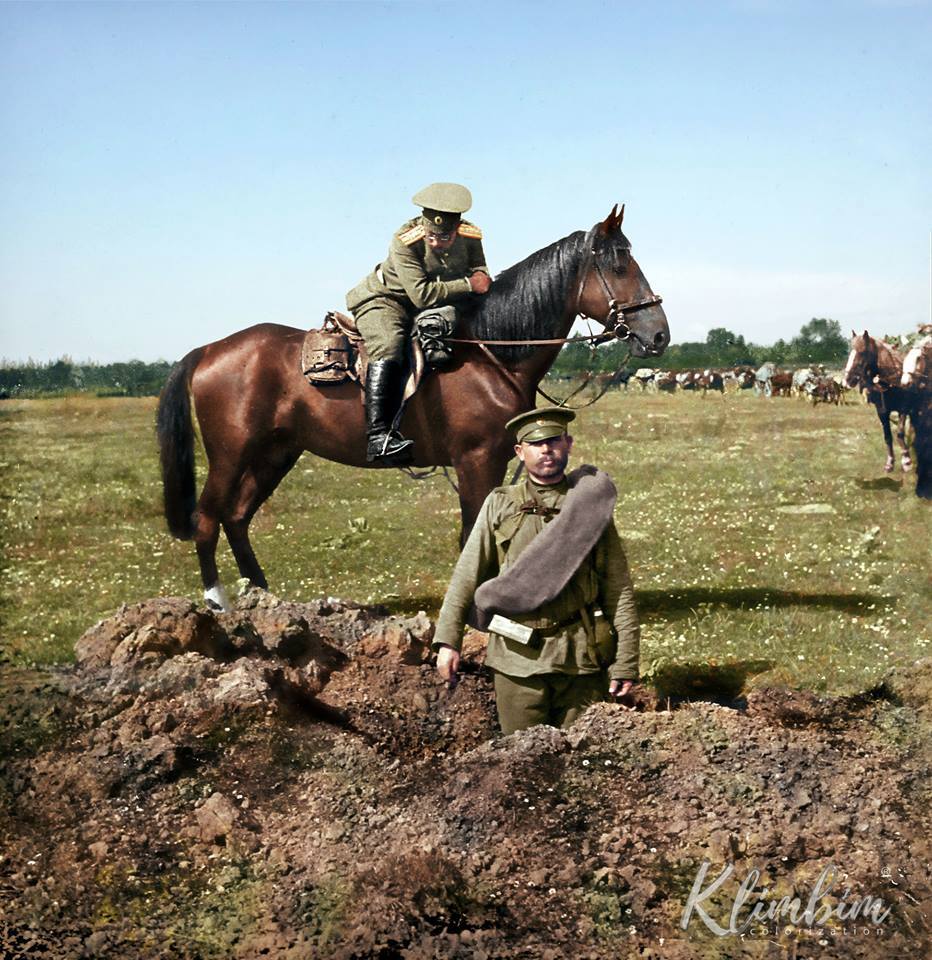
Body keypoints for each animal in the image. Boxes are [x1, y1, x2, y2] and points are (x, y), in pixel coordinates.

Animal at [844, 330, 916, 476]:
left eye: (863, 352)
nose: (847, 380)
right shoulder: (882, 411)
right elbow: (887, 436)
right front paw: (890, 463)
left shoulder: (904, 408)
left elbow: (900, 433)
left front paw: (906, 462)